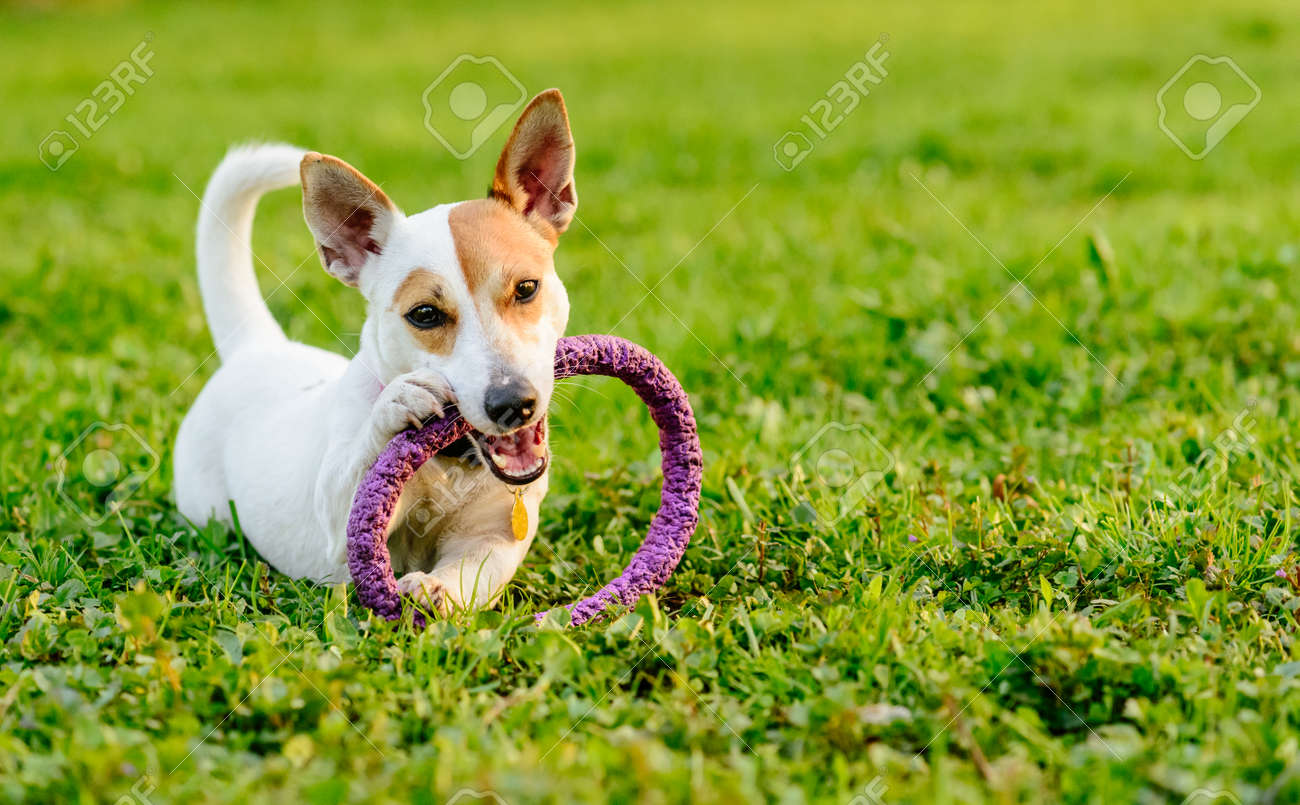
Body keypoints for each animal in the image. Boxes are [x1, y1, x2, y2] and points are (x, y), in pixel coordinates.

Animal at [175, 89, 582, 616]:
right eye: (425, 314)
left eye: (527, 288)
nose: (513, 403)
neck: (450, 466)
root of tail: (258, 347)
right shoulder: (336, 532)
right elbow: (353, 482)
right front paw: (396, 404)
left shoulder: (493, 536)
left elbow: (471, 571)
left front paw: (435, 589)